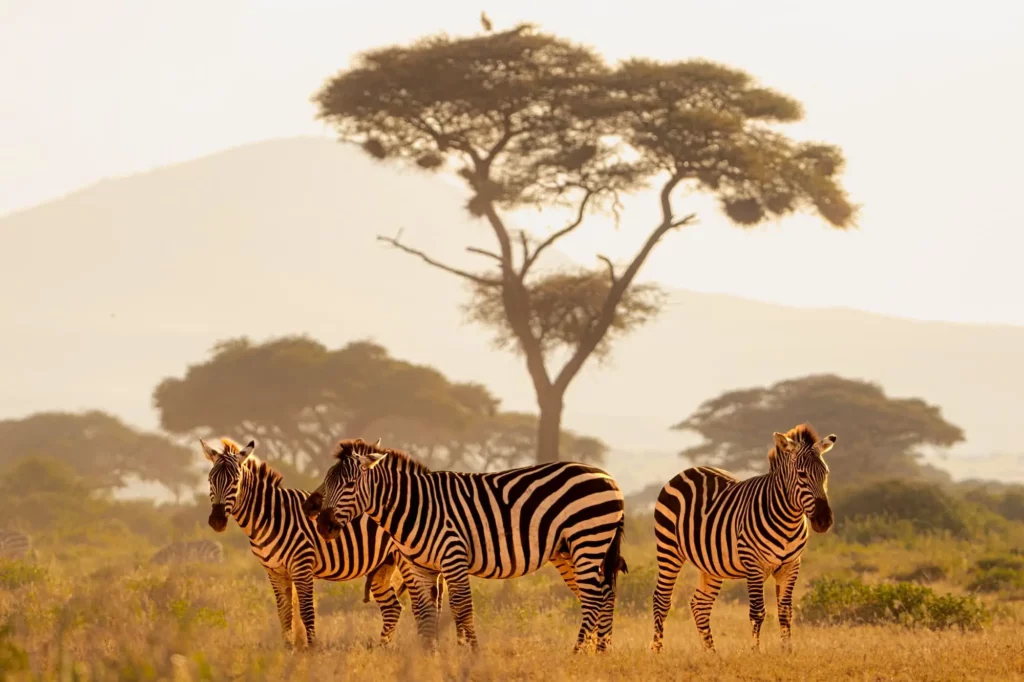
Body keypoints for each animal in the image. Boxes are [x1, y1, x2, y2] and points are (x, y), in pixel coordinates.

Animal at [201, 437, 443, 649]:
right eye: (210, 481)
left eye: (235, 482)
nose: (217, 521)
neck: (270, 517)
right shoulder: (274, 571)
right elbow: (284, 613)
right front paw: (287, 649)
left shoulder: (301, 565)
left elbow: (307, 611)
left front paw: (311, 651)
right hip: (384, 565)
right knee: (394, 607)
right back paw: (384, 647)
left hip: (409, 561)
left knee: (421, 606)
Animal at [303, 438, 627, 653]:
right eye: (326, 481)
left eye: (349, 485)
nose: (323, 525)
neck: (415, 507)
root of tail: (609, 478)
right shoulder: (421, 567)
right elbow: (424, 610)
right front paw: (428, 655)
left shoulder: (453, 556)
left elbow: (461, 605)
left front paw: (470, 651)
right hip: (573, 550)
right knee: (605, 594)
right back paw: (601, 651)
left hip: (588, 540)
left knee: (594, 597)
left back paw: (578, 652)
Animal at [650, 423, 837, 653]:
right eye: (802, 475)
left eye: (825, 473)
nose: (824, 521)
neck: (789, 521)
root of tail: (689, 470)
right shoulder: (753, 564)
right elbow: (757, 612)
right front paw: (755, 652)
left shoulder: (791, 566)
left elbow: (785, 612)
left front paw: (787, 651)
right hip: (668, 548)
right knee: (662, 599)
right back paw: (657, 650)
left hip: (712, 563)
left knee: (700, 604)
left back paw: (711, 653)